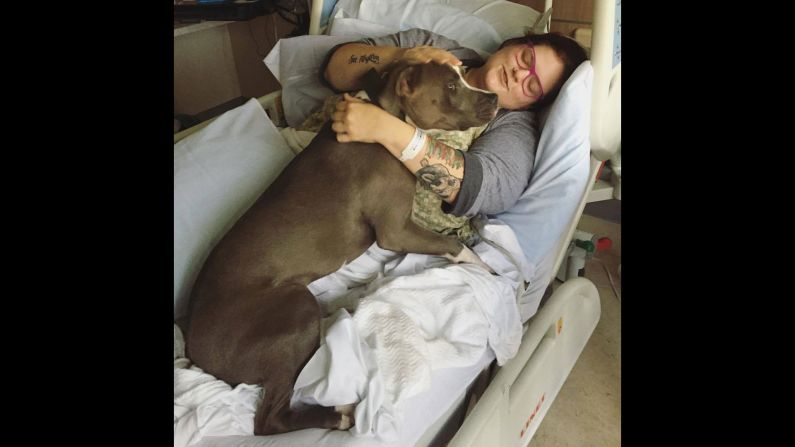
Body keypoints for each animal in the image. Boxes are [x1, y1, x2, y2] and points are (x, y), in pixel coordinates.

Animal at [186, 61, 498, 436]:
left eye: (462, 73)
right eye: (451, 85)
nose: (494, 97)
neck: (385, 113)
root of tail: (192, 344)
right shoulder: (396, 232)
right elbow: (453, 243)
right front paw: (484, 267)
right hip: (295, 310)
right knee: (269, 419)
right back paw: (339, 414)